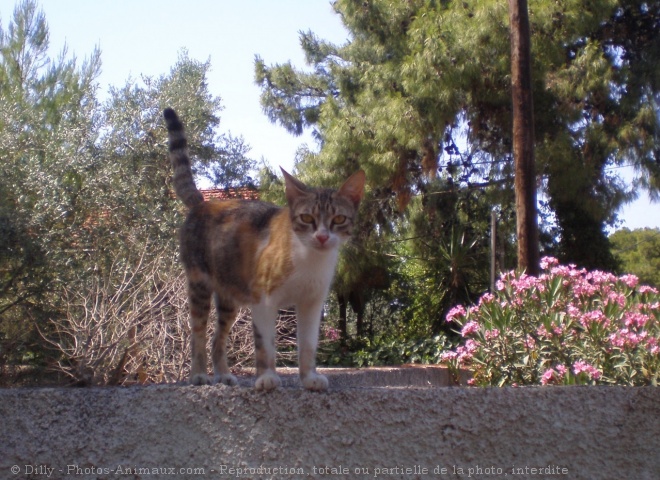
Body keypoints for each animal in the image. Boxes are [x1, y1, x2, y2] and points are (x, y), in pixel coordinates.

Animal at [162, 108, 364, 390]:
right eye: (307, 218)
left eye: (339, 219)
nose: (322, 237)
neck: (308, 260)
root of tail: (203, 204)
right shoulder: (264, 301)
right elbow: (264, 345)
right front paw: (267, 377)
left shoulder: (311, 304)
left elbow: (308, 345)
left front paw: (309, 378)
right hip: (199, 284)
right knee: (198, 333)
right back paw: (199, 375)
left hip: (229, 296)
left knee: (217, 338)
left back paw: (223, 374)